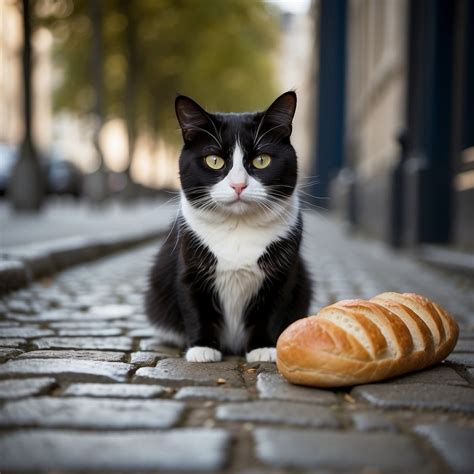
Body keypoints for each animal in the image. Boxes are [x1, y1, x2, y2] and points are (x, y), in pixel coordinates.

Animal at [146, 90, 312, 362]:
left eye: (262, 160)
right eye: (213, 160)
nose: (238, 185)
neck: (238, 226)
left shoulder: (283, 274)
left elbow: (272, 310)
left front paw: (263, 348)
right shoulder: (189, 266)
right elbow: (194, 306)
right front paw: (202, 349)